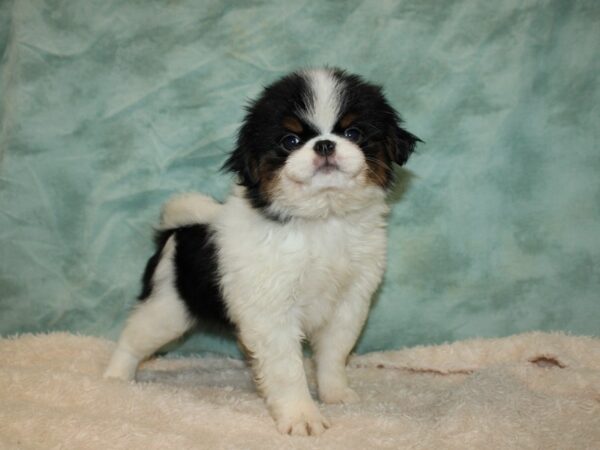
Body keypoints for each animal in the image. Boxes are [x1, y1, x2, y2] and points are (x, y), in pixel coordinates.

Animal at [104, 67, 422, 436]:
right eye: (290, 141)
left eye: (353, 132)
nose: (325, 144)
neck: (321, 220)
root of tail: (178, 229)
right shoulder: (274, 310)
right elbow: (287, 369)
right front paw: (301, 416)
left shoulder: (348, 302)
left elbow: (334, 354)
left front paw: (335, 393)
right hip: (168, 307)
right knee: (133, 337)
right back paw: (115, 378)